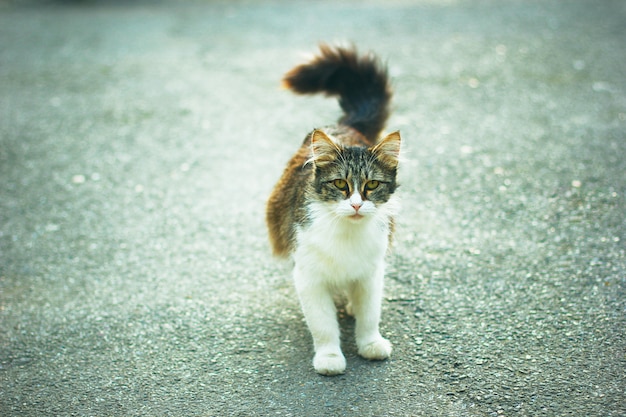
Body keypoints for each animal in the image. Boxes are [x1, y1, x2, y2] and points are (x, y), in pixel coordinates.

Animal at [264, 44, 400, 376]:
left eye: (372, 185)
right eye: (340, 184)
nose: (356, 203)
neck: (347, 234)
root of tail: (345, 127)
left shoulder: (371, 272)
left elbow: (369, 315)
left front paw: (370, 343)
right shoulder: (309, 276)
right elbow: (323, 325)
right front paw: (329, 357)